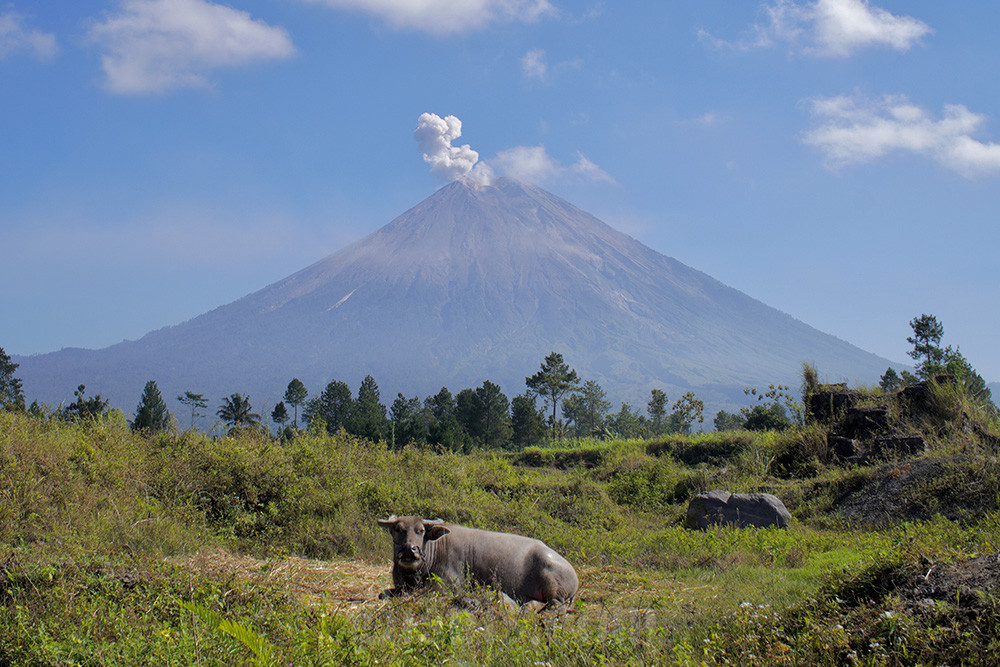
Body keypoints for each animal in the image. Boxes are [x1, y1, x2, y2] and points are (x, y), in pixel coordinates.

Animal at [376, 516, 580, 612]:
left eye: (420, 530)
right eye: (398, 529)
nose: (410, 550)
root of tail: (573, 573)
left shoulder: (447, 586)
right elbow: (383, 594)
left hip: (554, 587)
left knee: (556, 605)